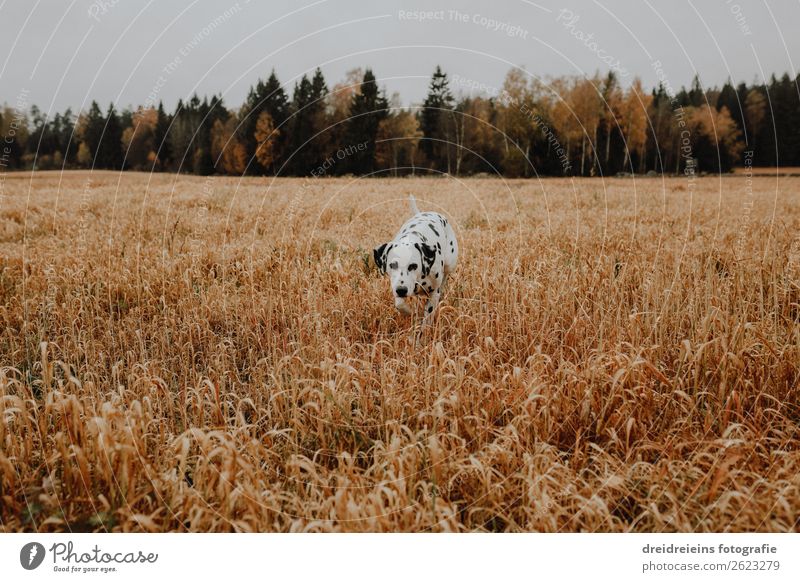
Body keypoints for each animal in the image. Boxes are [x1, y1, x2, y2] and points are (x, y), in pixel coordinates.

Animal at [374, 195, 460, 324]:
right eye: (393, 265)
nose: (401, 290)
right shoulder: (397, 286)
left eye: (413, 266)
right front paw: (410, 313)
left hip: (449, 263)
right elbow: (400, 304)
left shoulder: (433, 293)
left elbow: (428, 319)